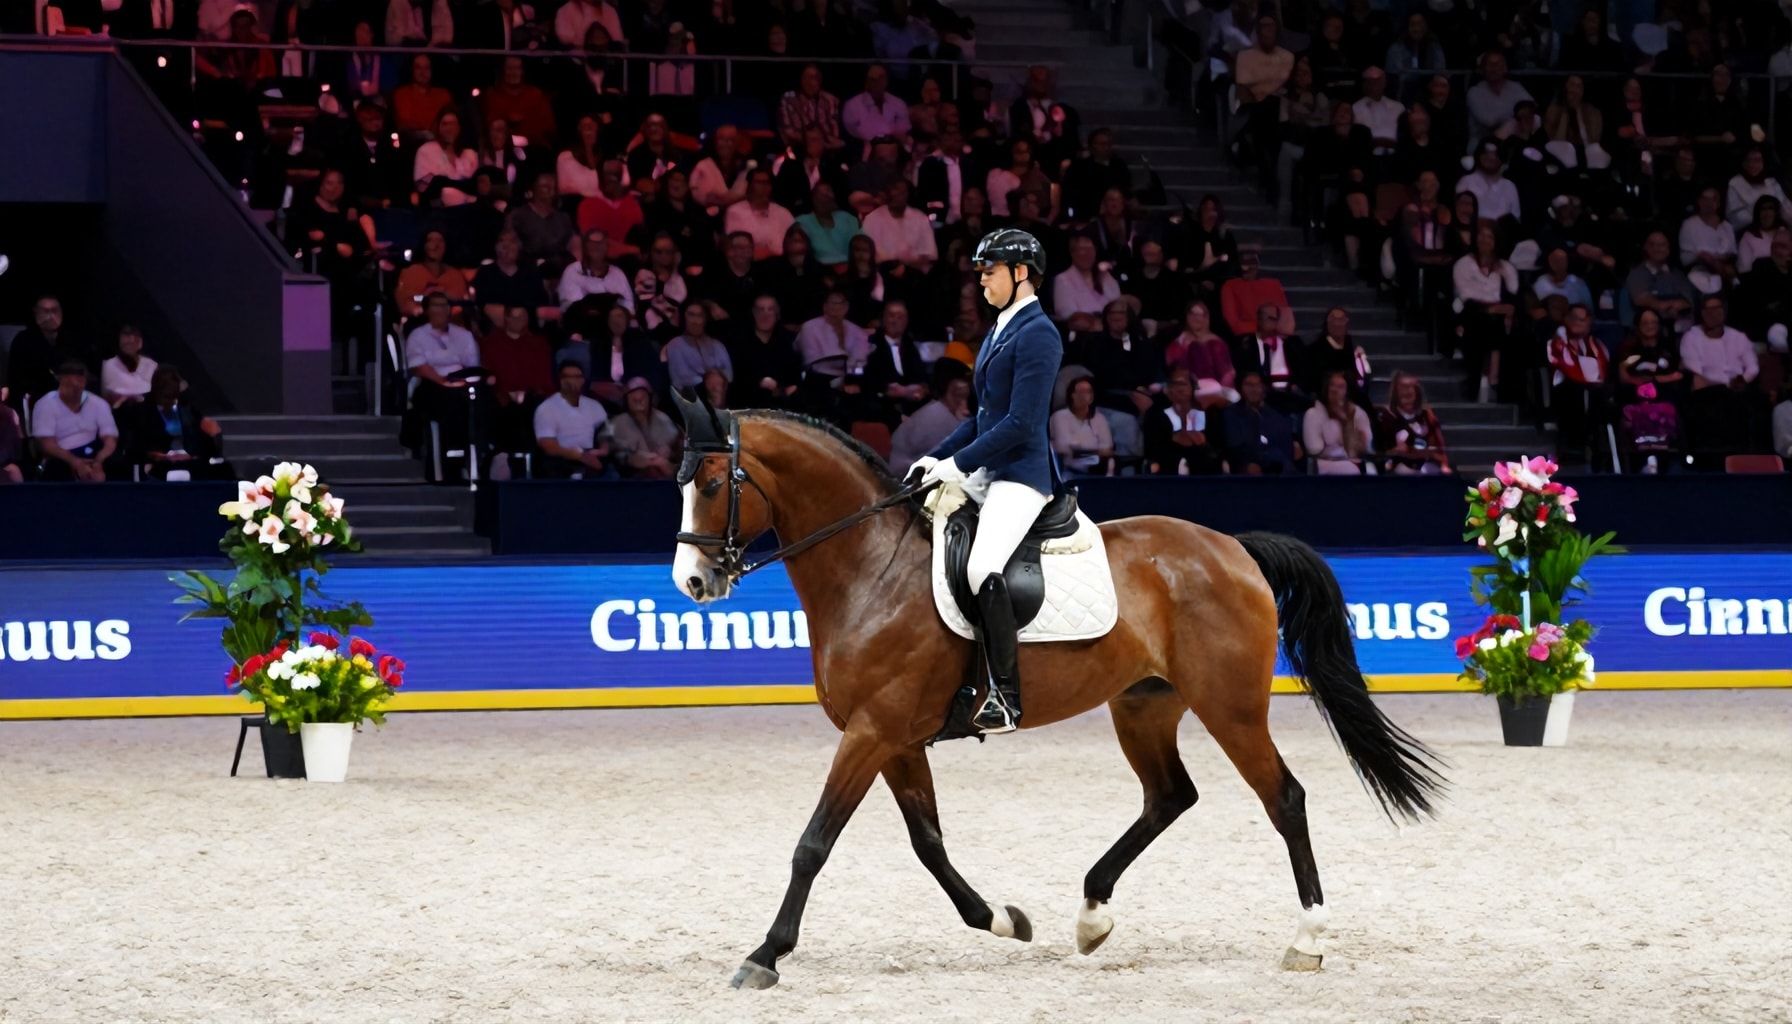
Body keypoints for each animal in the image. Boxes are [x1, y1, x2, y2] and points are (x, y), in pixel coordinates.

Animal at [668, 396, 1446, 990]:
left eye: (710, 482)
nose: (694, 583)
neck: (870, 570)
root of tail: (1232, 547)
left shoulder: (873, 731)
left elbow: (814, 842)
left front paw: (764, 955)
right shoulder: (894, 738)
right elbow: (928, 843)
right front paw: (1004, 920)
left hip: (1230, 707)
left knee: (1283, 798)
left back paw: (1308, 938)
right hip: (1143, 705)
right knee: (1170, 796)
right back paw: (1092, 915)